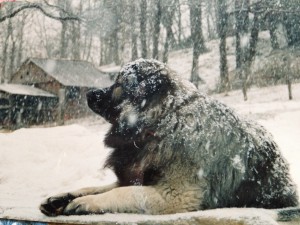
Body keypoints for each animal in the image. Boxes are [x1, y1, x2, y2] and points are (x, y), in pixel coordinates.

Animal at [39, 58, 298, 216]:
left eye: (118, 84)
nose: (90, 93)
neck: (163, 122)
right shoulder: (135, 175)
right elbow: (95, 187)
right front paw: (62, 198)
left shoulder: (175, 196)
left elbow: (122, 192)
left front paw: (89, 203)